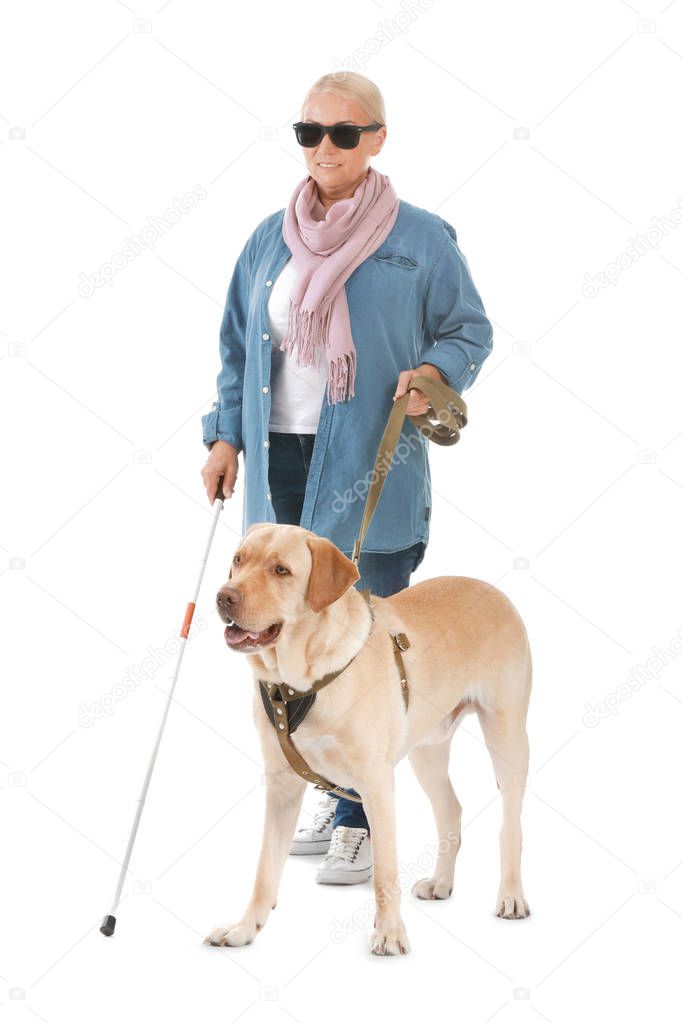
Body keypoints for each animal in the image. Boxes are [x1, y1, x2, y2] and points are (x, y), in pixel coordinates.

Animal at [204, 523, 531, 953]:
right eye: (239, 560)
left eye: (281, 571)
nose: (224, 596)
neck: (300, 683)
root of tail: (495, 591)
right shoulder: (281, 785)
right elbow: (264, 869)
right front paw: (245, 928)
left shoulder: (376, 784)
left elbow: (385, 873)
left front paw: (390, 933)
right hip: (427, 751)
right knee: (451, 810)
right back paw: (441, 882)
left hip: (507, 737)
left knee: (511, 826)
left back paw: (511, 896)